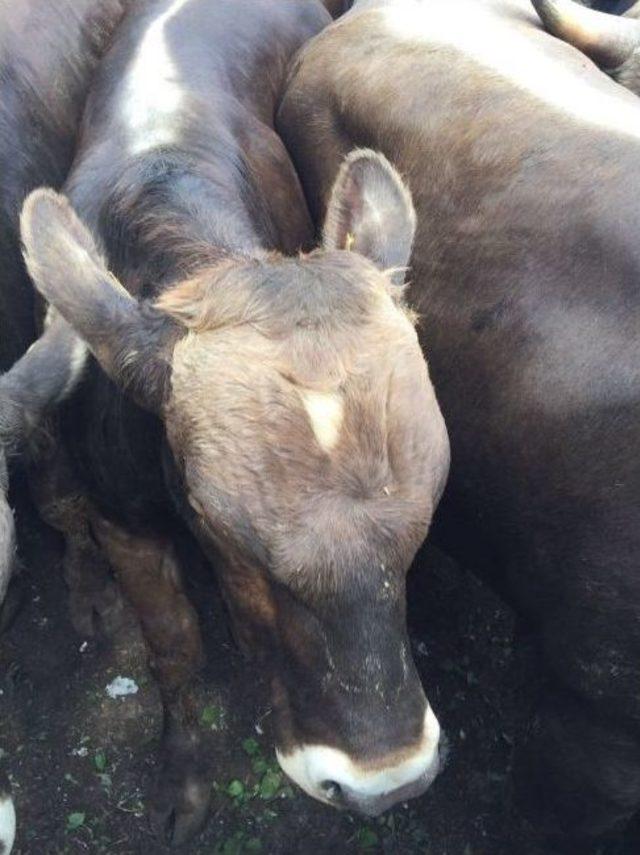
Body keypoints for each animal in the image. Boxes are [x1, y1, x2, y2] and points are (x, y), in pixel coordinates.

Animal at [18, 0, 450, 844]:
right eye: (221, 529)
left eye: (423, 527)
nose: (384, 781)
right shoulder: (124, 518)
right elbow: (172, 646)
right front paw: (183, 778)